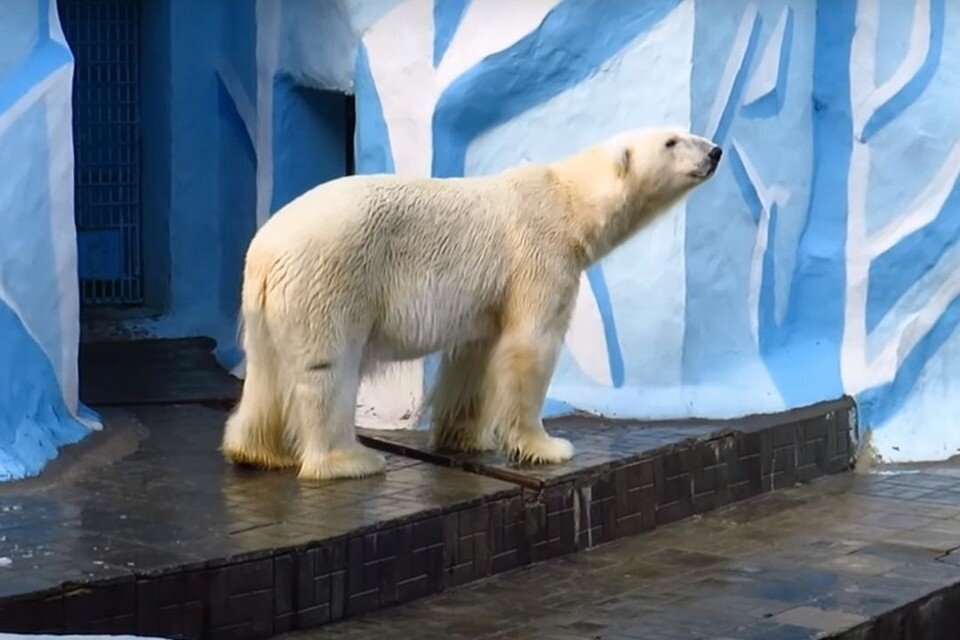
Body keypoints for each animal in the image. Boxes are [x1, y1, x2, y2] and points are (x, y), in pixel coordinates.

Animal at [223, 129, 720, 480]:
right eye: (672, 140)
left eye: (685, 130)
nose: (715, 151)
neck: (568, 203)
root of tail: (266, 249)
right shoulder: (538, 257)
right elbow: (530, 347)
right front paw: (547, 447)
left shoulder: (487, 298)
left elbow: (474, 356)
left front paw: (465, 438)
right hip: (331, 277)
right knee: (327, 370)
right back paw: (349, 459)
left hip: (268, 302)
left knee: (265, 374)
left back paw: (257, 451)